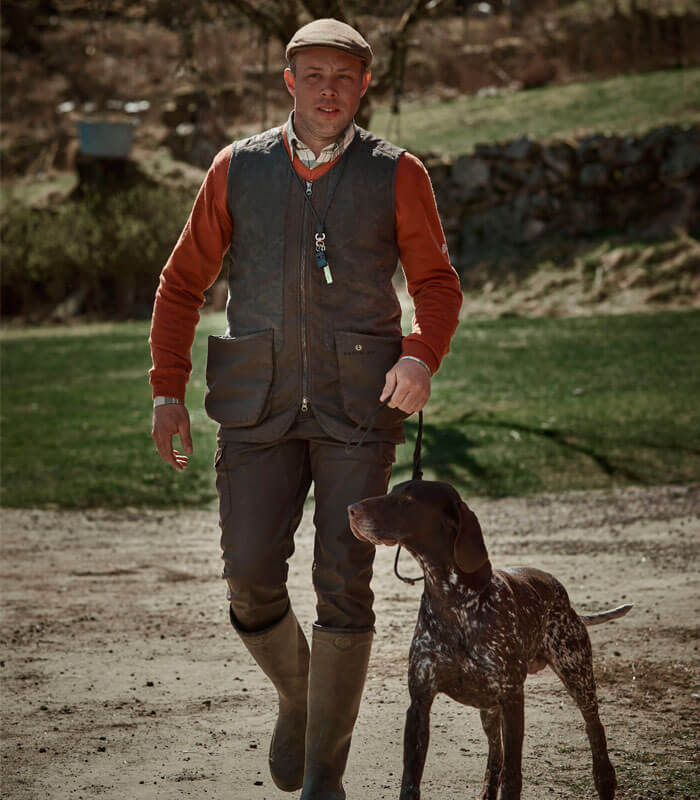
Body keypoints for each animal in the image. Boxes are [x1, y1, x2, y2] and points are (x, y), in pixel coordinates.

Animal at [348, 482, 632, 800]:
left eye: (407, 498)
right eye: (392, 491)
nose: (351, 509)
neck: (454, 602)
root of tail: (560, 592)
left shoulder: (512, 699)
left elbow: (512, 776)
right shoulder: (420, 703)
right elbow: (410, 781)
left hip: (577, 676)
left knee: (595, 729)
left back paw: (604, 778)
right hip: (489, 708)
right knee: (496, 753)